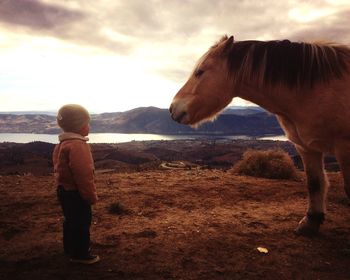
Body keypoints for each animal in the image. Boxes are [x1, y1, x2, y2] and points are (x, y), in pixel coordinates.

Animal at [170, 34, 350, 236]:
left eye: (200, 72)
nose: (172, 108)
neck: (313, 90)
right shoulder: (305, 147)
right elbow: (314, 183)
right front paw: (310, 223)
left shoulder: (344, 147)